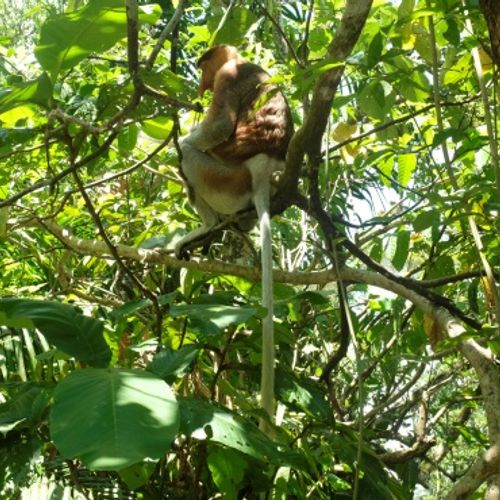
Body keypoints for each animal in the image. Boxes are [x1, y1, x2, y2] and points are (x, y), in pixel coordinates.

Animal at [176, 45, 292, 432]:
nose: (201, 84)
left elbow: (219, 127)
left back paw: (206, 224)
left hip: (223, 177)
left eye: (205, 66)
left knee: (190, 157)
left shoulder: (228, 76)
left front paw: (183, 135)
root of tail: (262, 166)